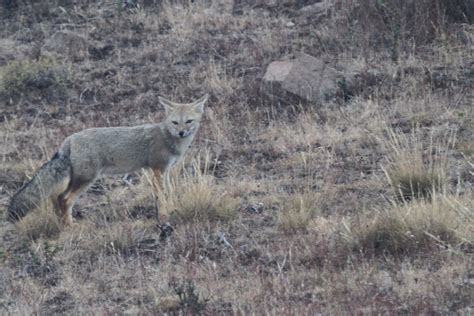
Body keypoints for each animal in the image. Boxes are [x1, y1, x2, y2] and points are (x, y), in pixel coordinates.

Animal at [7, 94, 207, 225]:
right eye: (175, 122)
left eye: (188, 121)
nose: (181, 132)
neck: (167, 137)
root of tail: (69, 139)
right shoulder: (157, 169)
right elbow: (162, 194)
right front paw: (166, 214)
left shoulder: (163, 170)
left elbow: (169, 192)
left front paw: (173, 208)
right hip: (86, 179)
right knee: (64, 198)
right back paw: (70, 226)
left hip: (78, 179)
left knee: (57, 198)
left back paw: (63, 224)